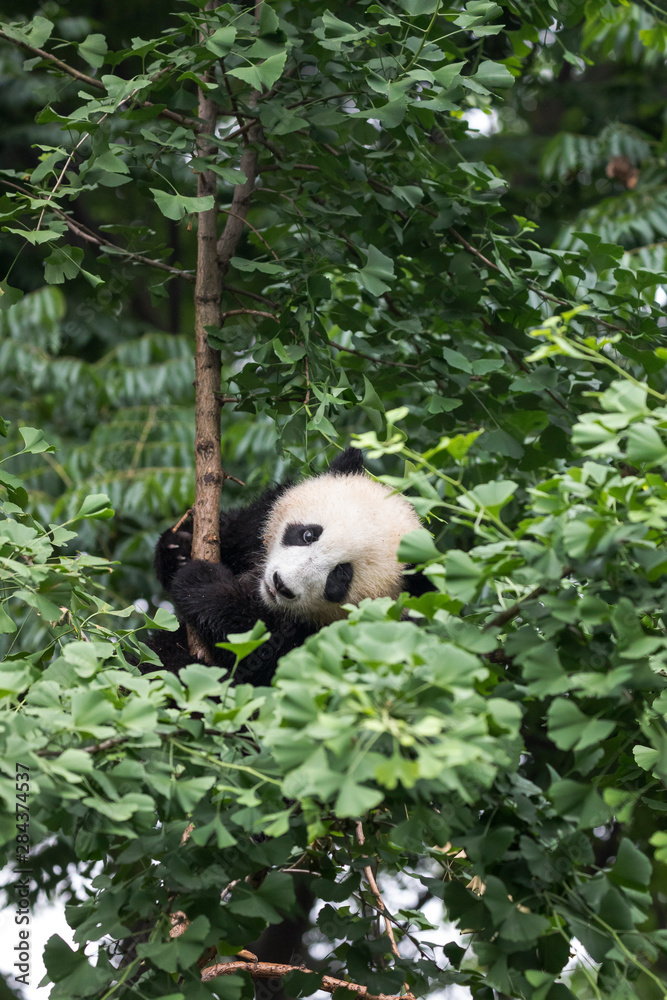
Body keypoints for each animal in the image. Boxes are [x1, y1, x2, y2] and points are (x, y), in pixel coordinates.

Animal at [147, 447, 432, 686]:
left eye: (340, 577)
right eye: (308, 534)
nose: (280, 584)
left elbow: (260, 650)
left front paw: (203, 584)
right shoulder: (257, 525)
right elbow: (240, 529)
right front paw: (178, 550)